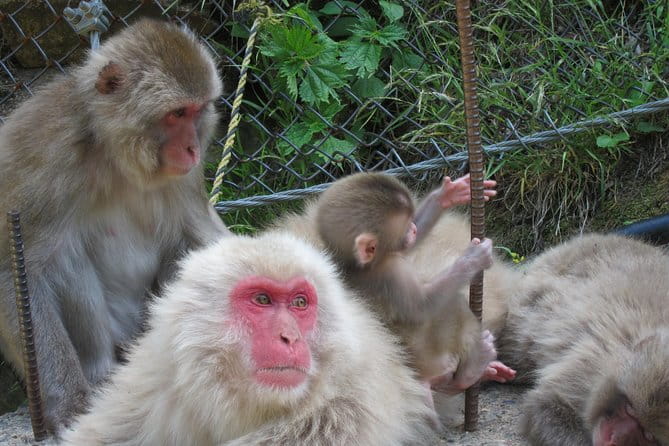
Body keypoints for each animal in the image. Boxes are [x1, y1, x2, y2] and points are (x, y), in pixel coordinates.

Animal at [0, 19, 230, 432]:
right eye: (176, 114)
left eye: (197, 111)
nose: (193, 149)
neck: (116, 154)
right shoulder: (46, 153)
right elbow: (17, 270)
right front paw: (68, 404)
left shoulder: (186, 177)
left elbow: (203, 238)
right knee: (65, 258)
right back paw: (101, 372)